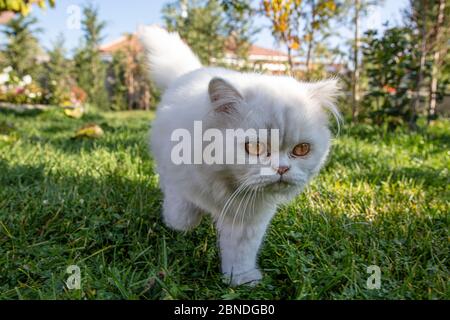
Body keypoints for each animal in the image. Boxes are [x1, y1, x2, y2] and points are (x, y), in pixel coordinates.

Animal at [139, 25, 340, 284]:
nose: (282, 169)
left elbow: (241, 252)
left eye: (301, 150)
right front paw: (180, 227)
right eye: (254, 148)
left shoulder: (248, 220)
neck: (228, 183)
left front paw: (241, 280)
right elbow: (181, 214)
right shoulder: (179, 184)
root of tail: (193, 72)